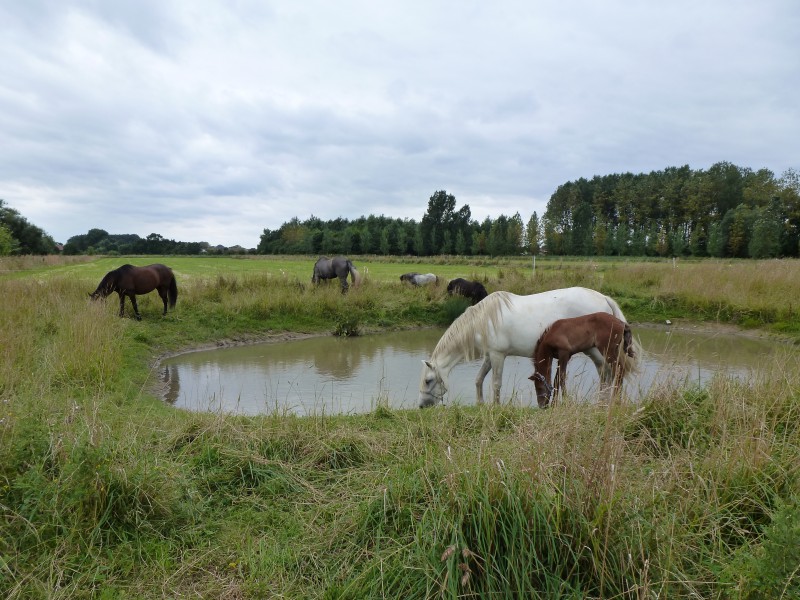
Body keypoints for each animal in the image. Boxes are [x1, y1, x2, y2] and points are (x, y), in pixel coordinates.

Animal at [416, 286, 640, 408]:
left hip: (597, 351)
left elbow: (495, 383)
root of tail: (603, 298)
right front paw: (480, 404)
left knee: (608, 372)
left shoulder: (498, 356)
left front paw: (496, 407)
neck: (484, 320)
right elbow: (479, 379)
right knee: (607, 373)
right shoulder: (489, 356)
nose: (421, 406)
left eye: (428, 381)